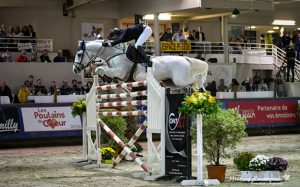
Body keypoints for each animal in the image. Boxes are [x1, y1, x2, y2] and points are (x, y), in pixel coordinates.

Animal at [73, 40, 209, 89]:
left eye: (79, 54)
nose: (75, 69)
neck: (114, 53)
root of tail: (185, 58)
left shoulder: (120, 71)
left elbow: (101, 69)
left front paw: (98, 72)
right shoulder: (120, 75)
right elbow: (106, 72)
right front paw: (106, 79)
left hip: (179, 80)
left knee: (197, 77)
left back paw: (201, 89)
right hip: (173, 83)